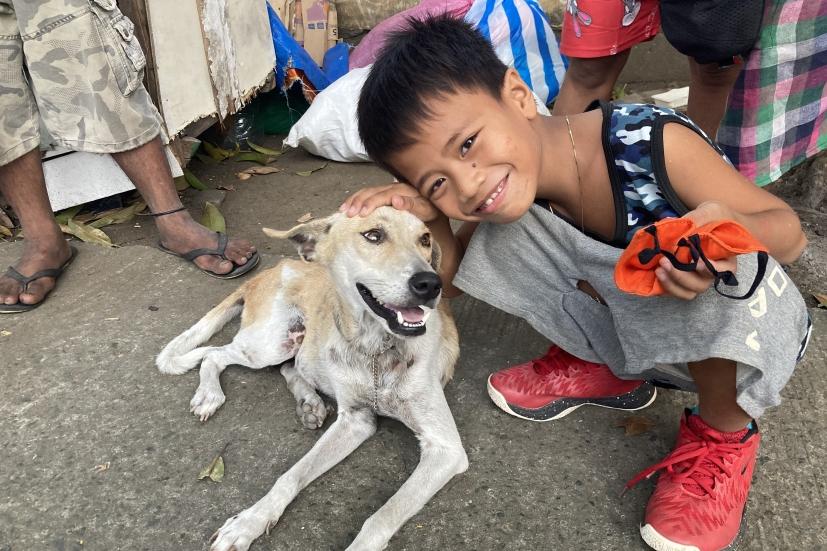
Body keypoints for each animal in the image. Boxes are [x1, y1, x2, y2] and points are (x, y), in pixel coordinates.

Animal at [156, 208, 466, 551]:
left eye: (425, 239)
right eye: (373, 235)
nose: (431, 283)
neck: (376, 349)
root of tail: (273, 269)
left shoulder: (444, 448)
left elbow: (381, 516)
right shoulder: (354, 420)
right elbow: (291, 475)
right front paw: (249, 521)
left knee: (286, 367)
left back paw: (309, 403)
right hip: (270, 344)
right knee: (215, 354)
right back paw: (210, 395)